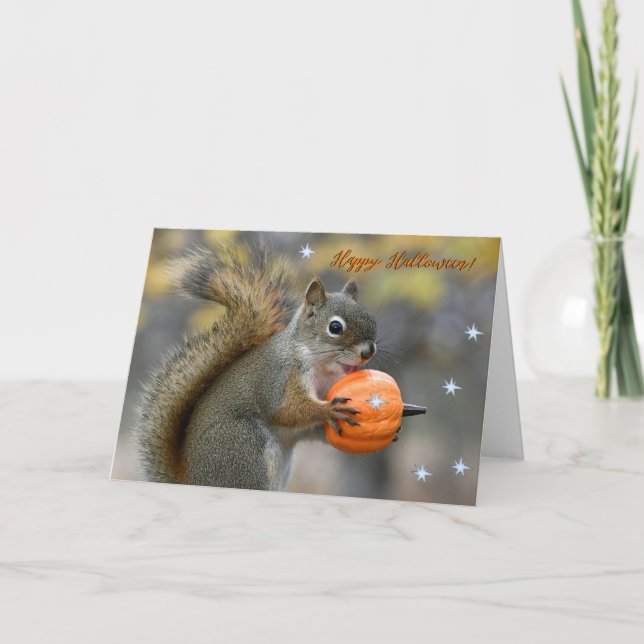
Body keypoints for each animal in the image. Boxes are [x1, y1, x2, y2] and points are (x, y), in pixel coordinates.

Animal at [136, 241, 378, 492]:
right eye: (335, 327)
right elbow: (287, 409)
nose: (368, 351)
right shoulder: (281, 377)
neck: (322, 365)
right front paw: (328, 409)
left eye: (371, 319)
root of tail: (192, 480)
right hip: (246, 447)